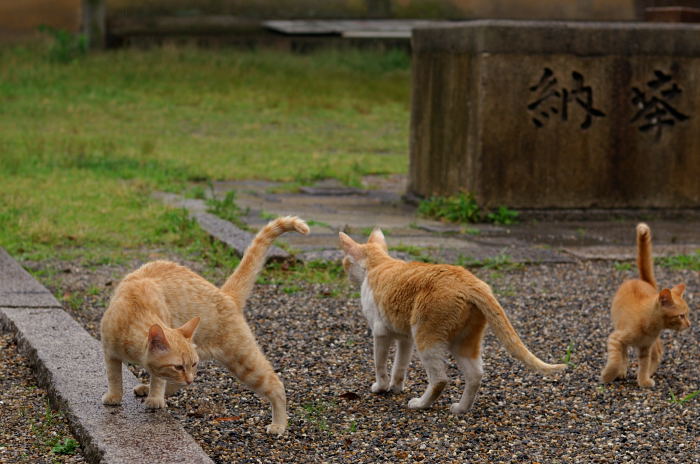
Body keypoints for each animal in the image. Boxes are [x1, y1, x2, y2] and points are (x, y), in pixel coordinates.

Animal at [99, 217, 308, 436]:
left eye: (193, 364)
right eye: (179, 366)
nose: (191, 379)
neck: (133, 311)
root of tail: (225, 295)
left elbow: (158, 380)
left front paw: (155, 399)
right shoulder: (110, 352)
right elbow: (114, 377)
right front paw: (115, 396)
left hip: (244, 362)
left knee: (276, 385)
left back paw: (279, 424)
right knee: (175, 385)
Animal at [338, 228, 564, 414]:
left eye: (345, 263)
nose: (345, 273)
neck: (379, 263)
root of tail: (471, 282)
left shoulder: (381, 333)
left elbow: (380, 364)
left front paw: (381, 387)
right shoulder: (405, 338)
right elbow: (400, 366)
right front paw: (396, 387)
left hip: (426, 338)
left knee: (440, 379)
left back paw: (421, 404)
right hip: (462, 341)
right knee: (475, 375)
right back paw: (461, 409)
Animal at [600, 224, 692, 388]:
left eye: (687, 315)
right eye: (681, 315)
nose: (689, 324)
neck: (649, 325)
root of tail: (642, 281)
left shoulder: (645, 348)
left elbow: (644, 365)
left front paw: (643, 380)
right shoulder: (616, 339)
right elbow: (616, 360)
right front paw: (608, 375)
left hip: (652, 345)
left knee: (658, 353)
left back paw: (648, 372)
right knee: (625, 353)